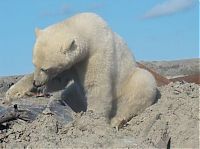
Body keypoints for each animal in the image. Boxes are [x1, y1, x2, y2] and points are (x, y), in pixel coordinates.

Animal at [3, 12, 157, 128]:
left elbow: (96, 85)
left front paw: (92, 118)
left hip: (129, 84)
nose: (37, 83)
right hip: (77, 96)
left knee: (140, 86)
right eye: (34, 64)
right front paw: (15, 92)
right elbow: (59, 81)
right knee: (68, 94)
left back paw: (117, 120)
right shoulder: (73, 64)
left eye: (45, 68)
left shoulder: (97, 53)